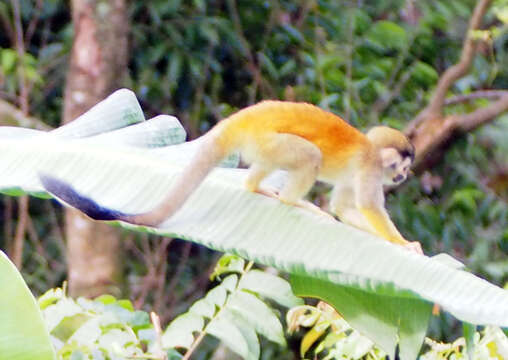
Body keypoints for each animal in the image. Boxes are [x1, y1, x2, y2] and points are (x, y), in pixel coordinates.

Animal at [39, 100, 422, 253]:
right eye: (402, 168)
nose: (403, 177)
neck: (373, 151)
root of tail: (241, 119)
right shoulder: (370, 167)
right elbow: (369, 206)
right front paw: (403, 244)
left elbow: (345, 206)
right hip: (268, 140)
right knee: (309, 156)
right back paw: (292, 201)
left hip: (260, 145)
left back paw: (257, 188)